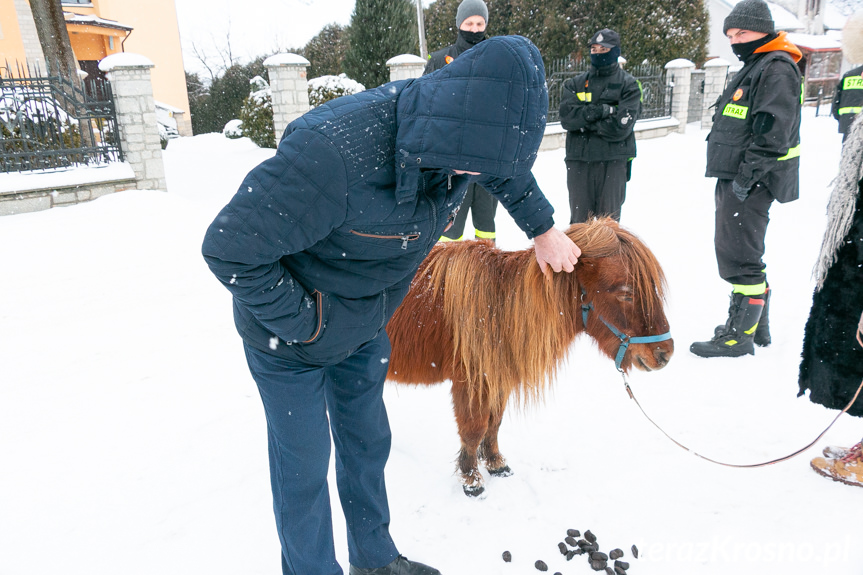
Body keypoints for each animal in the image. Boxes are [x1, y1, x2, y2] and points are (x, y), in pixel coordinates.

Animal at [386, 218, 676, 498]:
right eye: (626, 293)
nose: (665, 353)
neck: (499, 306)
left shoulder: (497, 378)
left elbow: (494, 423)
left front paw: (496, 463)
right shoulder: (472, 381)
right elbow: (474, 429)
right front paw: (471, 480)